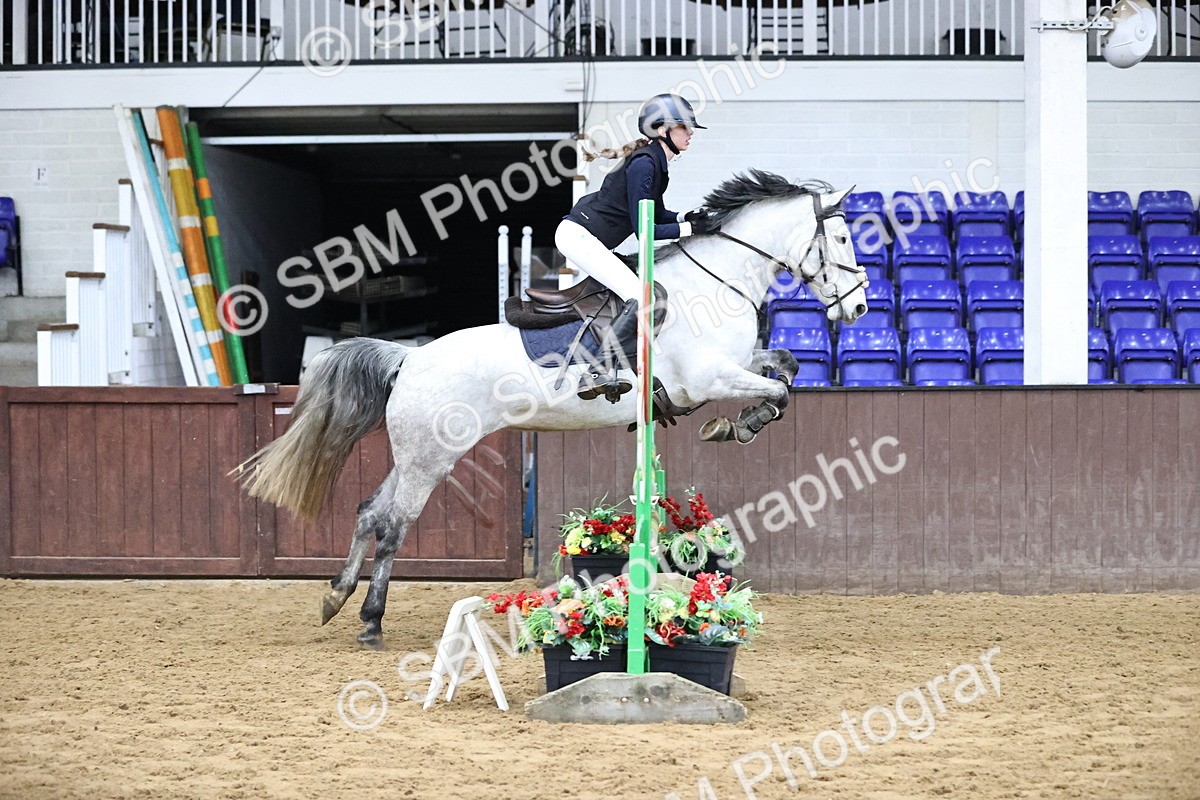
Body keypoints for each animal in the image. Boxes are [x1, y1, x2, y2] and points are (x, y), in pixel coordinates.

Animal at [235, 171, 868, 649]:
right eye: (841, 239)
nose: (858, 308)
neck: (720, 281)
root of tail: (410, 358)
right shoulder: (707, 377)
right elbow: (778, 392)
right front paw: (739, 425)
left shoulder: (735, 364)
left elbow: (785, 365)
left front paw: (741, 421)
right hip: (431, 458)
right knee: (392, 525)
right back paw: (369, 621)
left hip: (414, 454)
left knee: (370, 512)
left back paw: (337, 597)